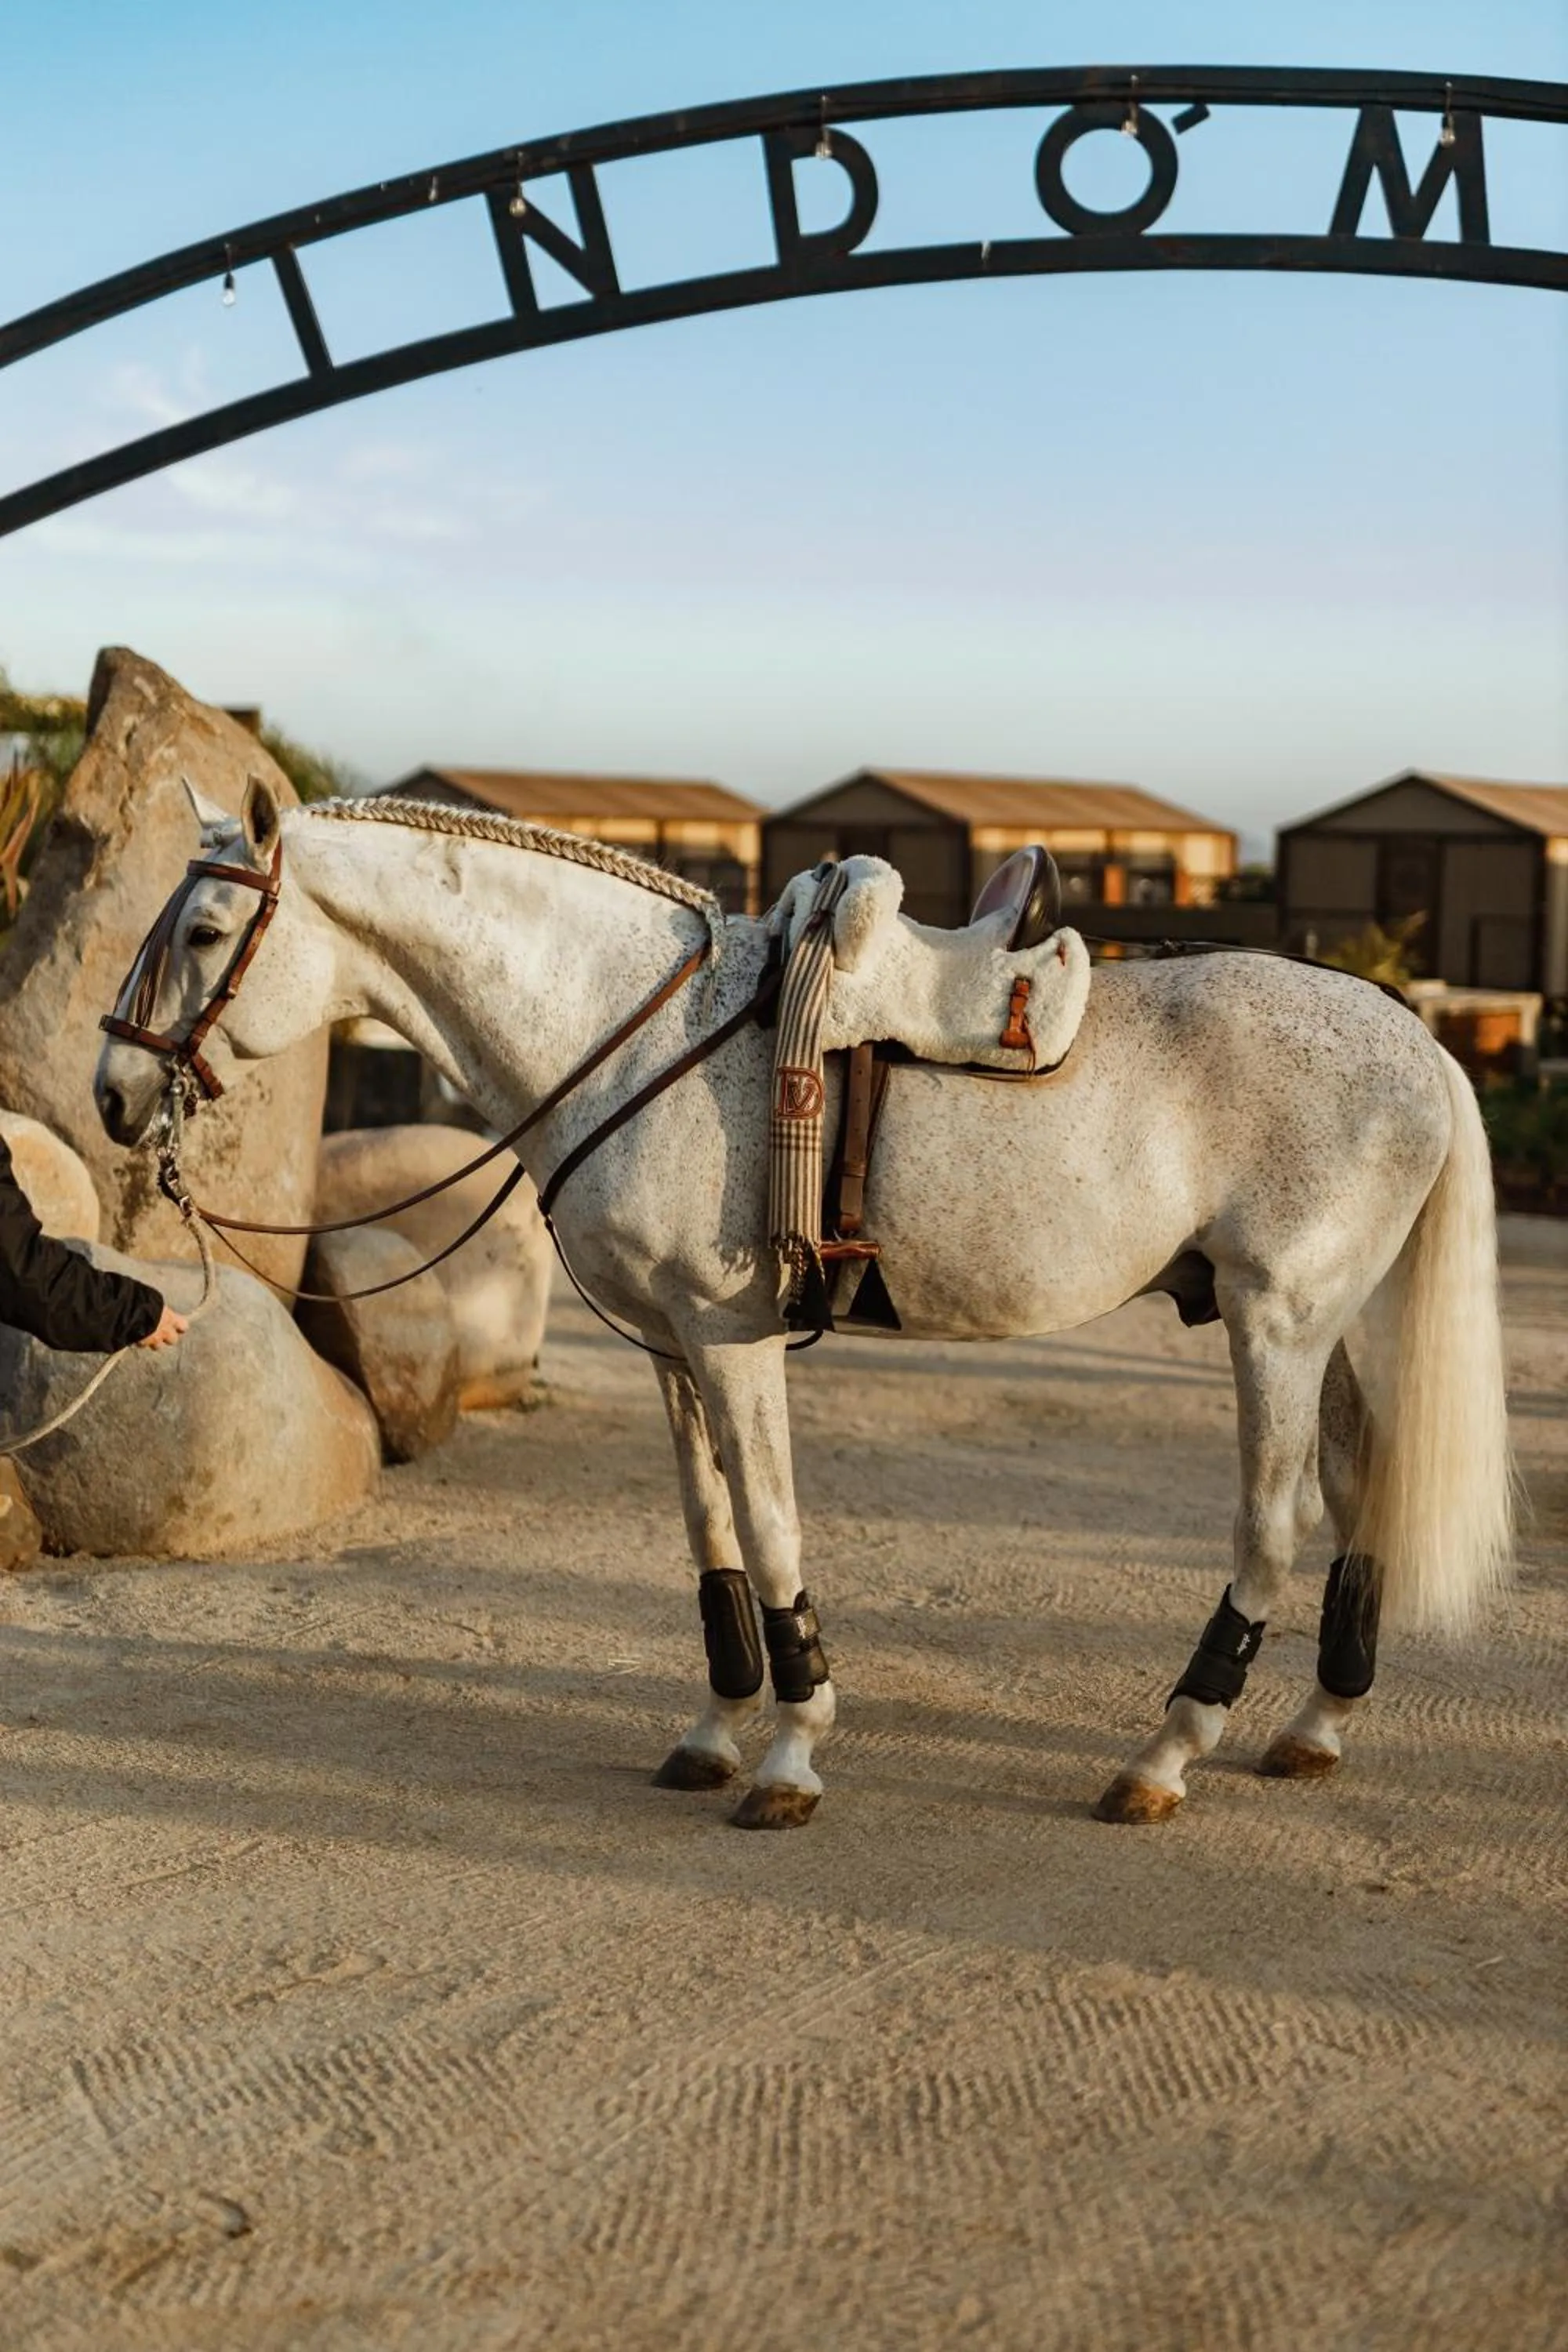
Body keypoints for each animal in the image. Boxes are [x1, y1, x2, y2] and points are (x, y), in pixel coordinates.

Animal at [94, 778, 1512, 1830]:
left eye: (207, 934)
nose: (112, 1093)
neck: (640, 1033)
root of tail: (1414, 1031)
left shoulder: (734, 1344)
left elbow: (772, 1534)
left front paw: (790, 1755)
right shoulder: (672, 1351)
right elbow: (712, 1538)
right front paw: (719, 1732)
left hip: (1280, 1327)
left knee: (1272, 1532)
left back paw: (1163, 1757)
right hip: (1338, 1331)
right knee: (1358, 1499)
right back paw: (1315, 1729)